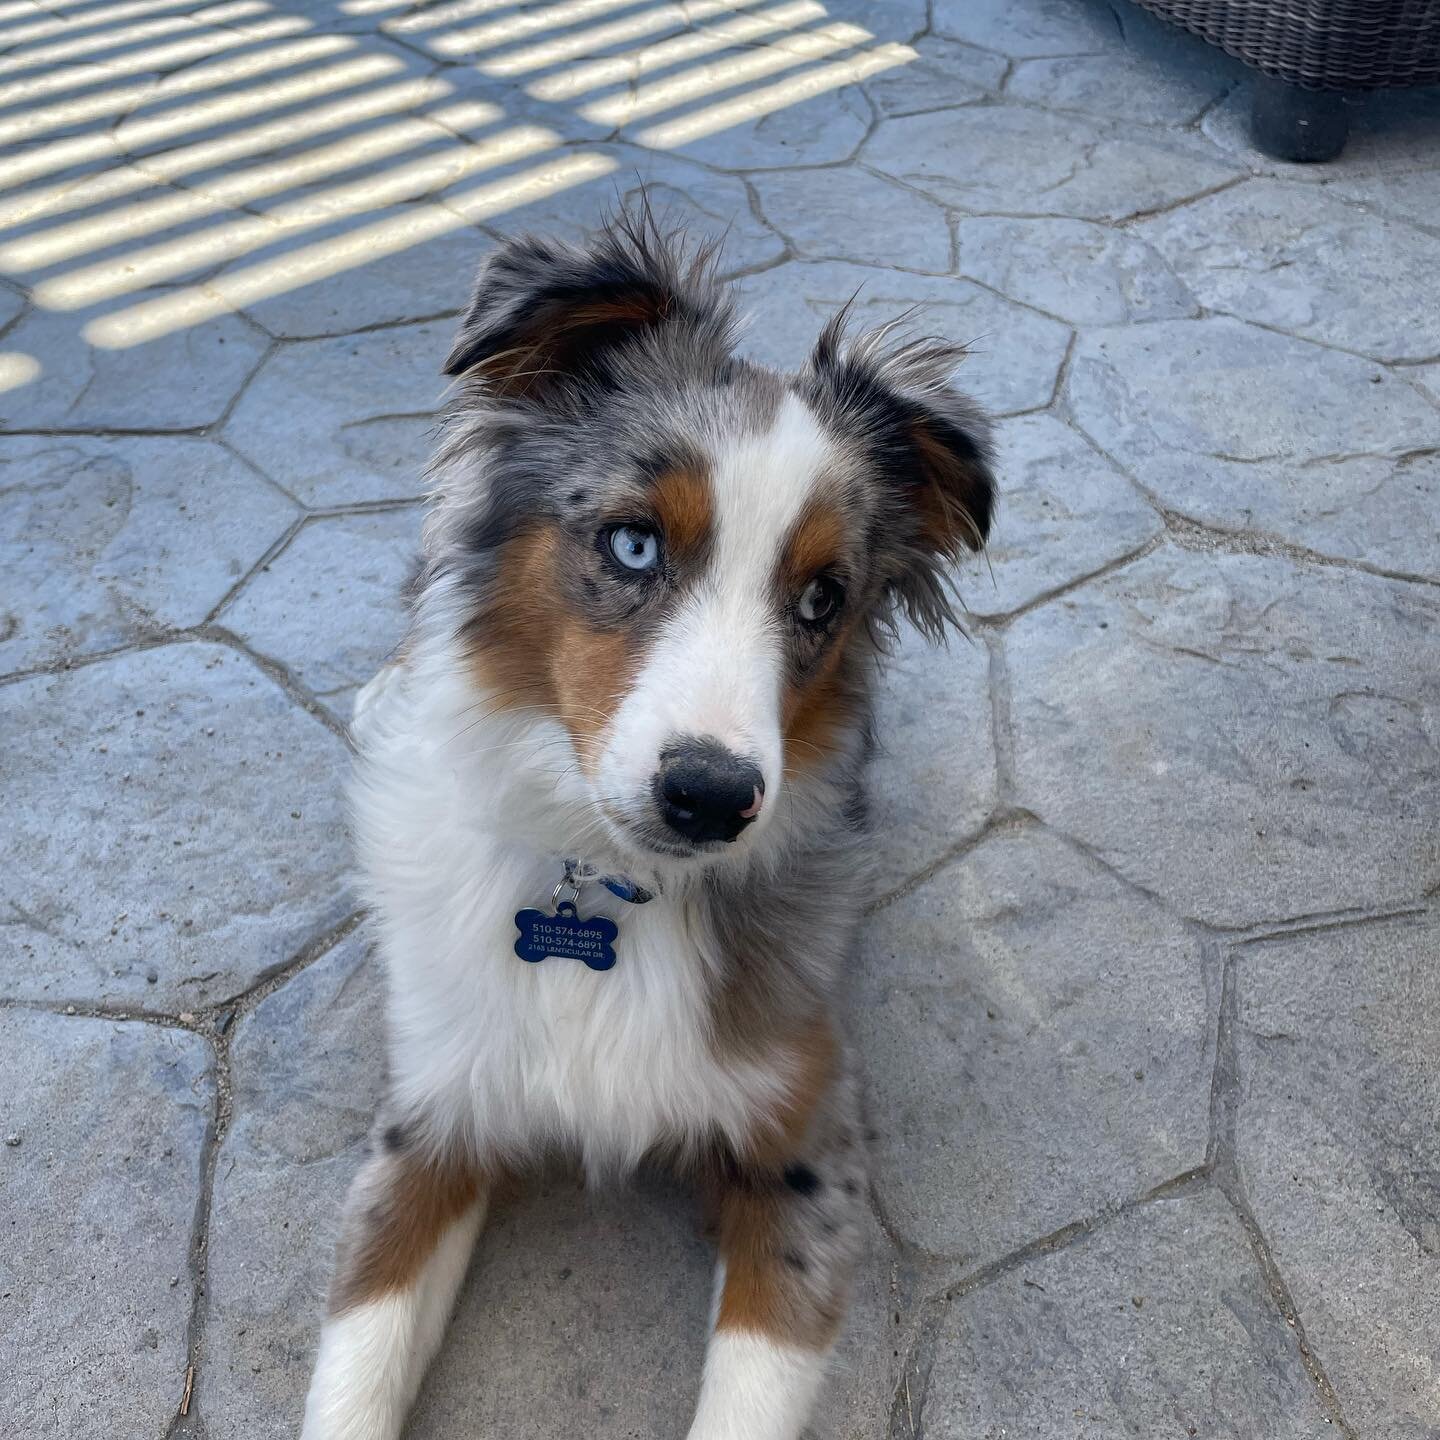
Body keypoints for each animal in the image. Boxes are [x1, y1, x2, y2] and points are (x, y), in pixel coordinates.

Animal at [300, 213, 1002, 1440]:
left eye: (823, 599)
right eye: (634, 545)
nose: (712, 796)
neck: (606, 880)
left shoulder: (804, 1145)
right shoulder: (431, 1118)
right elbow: (356, 1364)